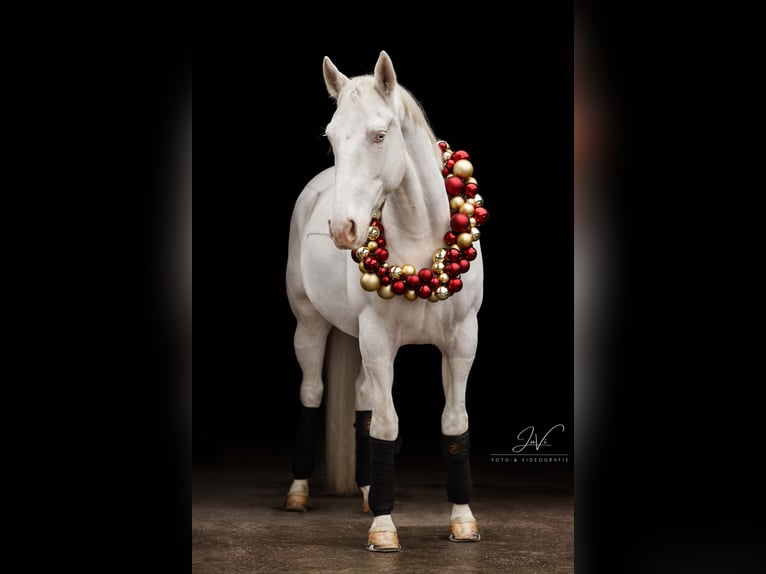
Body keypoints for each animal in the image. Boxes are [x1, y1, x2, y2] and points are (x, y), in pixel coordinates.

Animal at [284, 50, 485, 552]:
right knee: (312, 392)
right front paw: (383, 527)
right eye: (331, 137)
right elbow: (387, 425)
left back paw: (367, 491)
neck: (423, 248)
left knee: (362, 399)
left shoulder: (462, 343)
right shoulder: (377, 342)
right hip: (309, 324)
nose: (343, 229)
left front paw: (463, 520)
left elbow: (453, 422)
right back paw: (299, 492)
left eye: (379, 134)